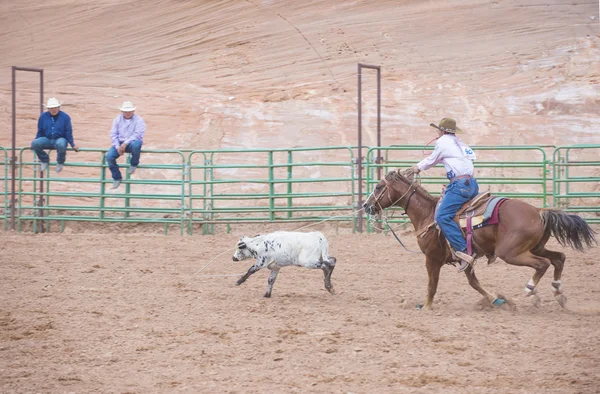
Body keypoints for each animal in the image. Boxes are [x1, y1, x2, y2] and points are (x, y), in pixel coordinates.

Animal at [360, 168, 596, 310]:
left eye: (379, 187)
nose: (366, 205)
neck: (428, 214)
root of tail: (539, 211)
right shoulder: (466, 258)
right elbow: (474, 282)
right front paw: (494, 299)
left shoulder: (432, 258)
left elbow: (432, 284)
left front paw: (426, 306)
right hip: (535, 247)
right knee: (559, 258)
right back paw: (558, 293)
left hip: (511, 253)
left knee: (543, 263)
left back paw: (531, 291)